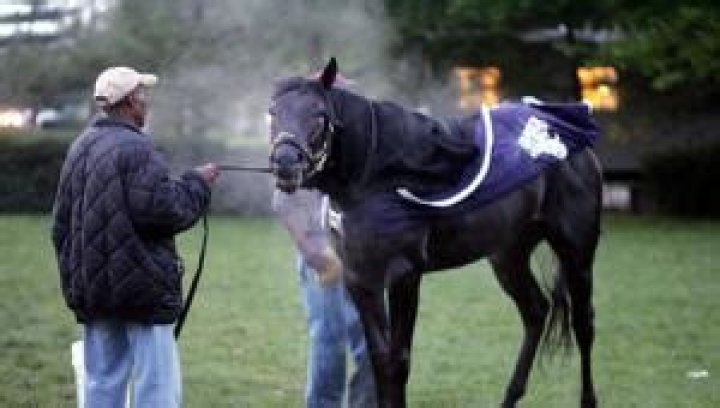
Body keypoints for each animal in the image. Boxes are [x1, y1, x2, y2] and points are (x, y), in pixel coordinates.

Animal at [268, 57, 602, 408]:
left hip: (577, 253)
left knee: (584, 325)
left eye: (319, 115)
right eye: (273, 112)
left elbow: (398, 360)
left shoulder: (403, 275)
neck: (375, 174)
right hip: (508, 256)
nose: (285, 164)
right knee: (536, 311)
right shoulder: (360, 279)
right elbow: (380, 360)